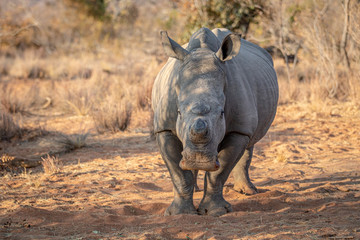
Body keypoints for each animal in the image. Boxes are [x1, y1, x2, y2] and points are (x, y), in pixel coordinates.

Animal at [152, 27, 278, 217]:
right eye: (179, 112)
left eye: (222, 113)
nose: (199, 160)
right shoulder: (164, 128)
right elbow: (178, 173)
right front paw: (179, 213)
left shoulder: (239, 129)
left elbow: (220, 171)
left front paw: (215, 211)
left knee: (250, 142)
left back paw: (248, 191)